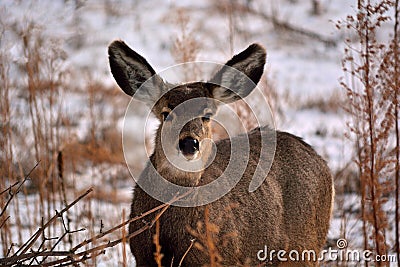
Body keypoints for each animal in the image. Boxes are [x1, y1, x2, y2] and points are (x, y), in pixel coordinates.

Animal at [108, 40, 332, 267]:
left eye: (207, 115)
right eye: (166, 113)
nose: (189, 143)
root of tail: (320, 160)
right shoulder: (142, 255)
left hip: (305, 246)